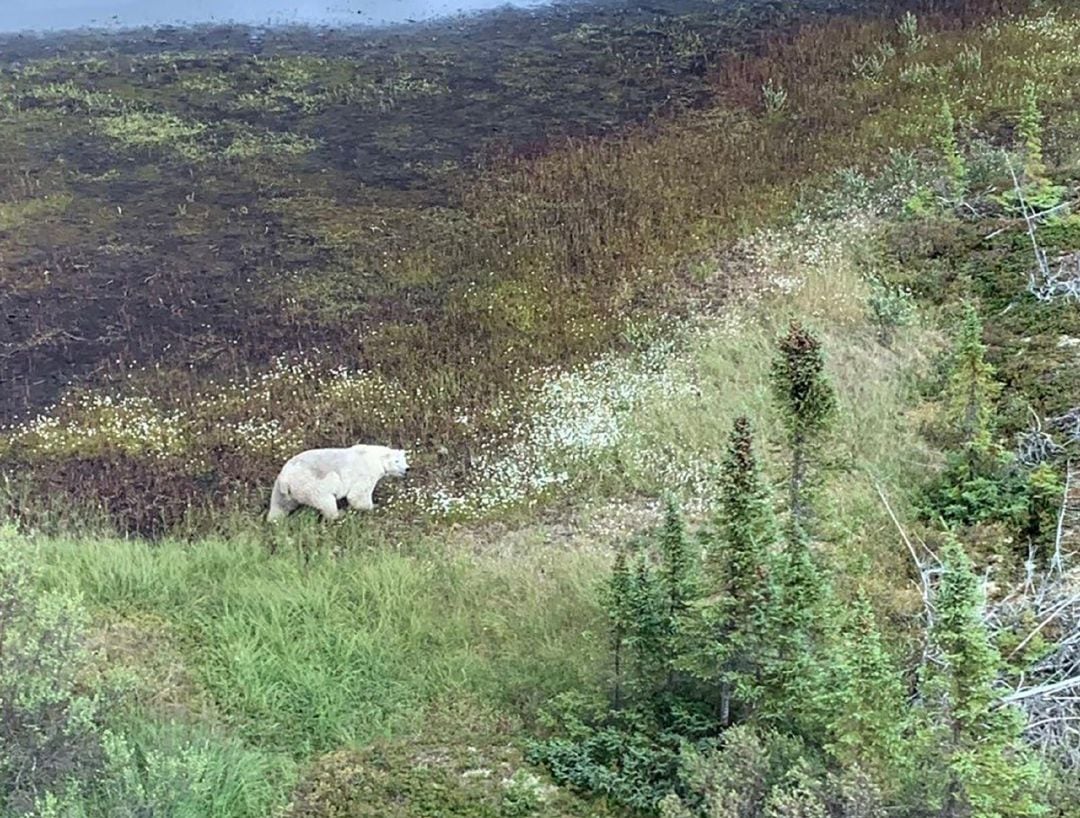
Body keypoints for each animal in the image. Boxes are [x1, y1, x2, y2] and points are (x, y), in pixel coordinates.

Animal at [265, 440, 408, 523]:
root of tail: (286, 479)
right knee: (327, 502)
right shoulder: (366, 472)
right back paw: (339, 513)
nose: (407, 469)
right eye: (396, 461)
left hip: (281, 488)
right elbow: (357, 496)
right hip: (313, 485)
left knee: (279, 506)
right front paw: (374, 506)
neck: (375, 457)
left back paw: (273, 520)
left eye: (404, 460)